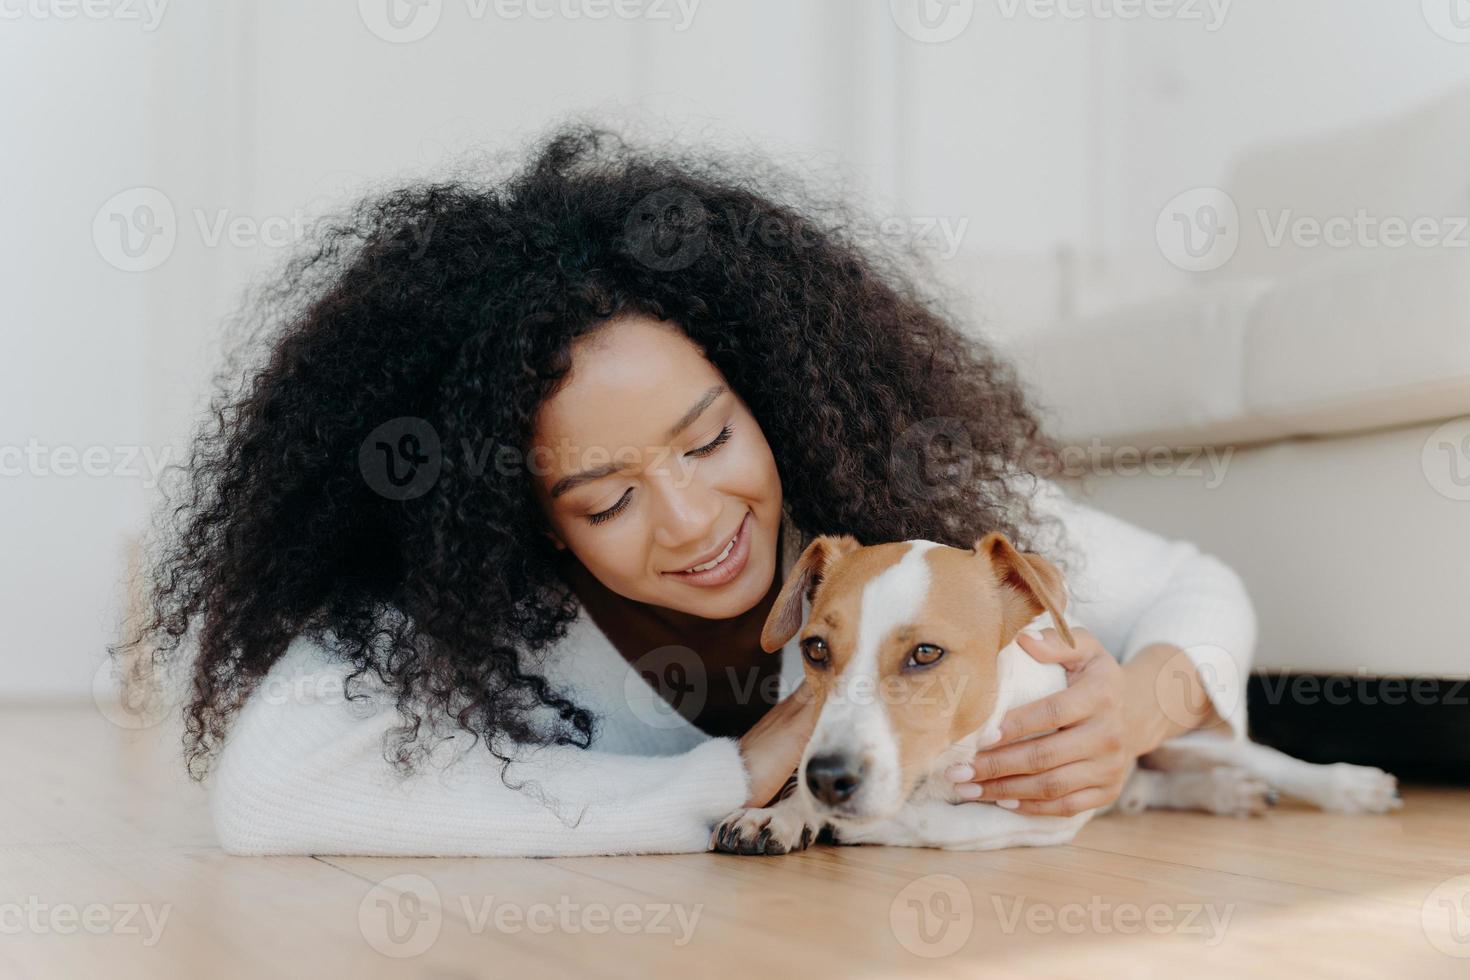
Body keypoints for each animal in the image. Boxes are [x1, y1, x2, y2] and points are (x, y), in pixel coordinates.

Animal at [711, 531, 1399, 852]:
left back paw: (1347, 786)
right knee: (1152, 789)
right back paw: (1223, 793)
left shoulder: (1043, 813)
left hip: (1194, 739)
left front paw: (849, 824)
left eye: (925, 653)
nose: (829, 778)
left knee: (1271, 761)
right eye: (815, 650)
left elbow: (934, 821)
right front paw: (783, 812)